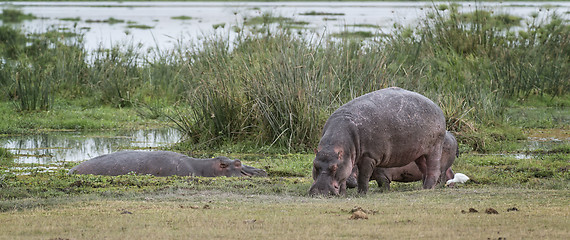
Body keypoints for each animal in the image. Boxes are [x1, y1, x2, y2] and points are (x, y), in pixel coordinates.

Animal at [308, 87, 446, 196]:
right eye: (315, 165)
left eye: (334, 167)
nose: (319, 192)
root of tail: (437, 106)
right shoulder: (346, 161)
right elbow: (343, 178)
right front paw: (342, 194)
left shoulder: (369, 157)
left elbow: (363, 177)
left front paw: (362, 194)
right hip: (419, 153)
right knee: (424, 169)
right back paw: (424, 187)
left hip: (435, 147)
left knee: (434, 169)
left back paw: (428, 188)